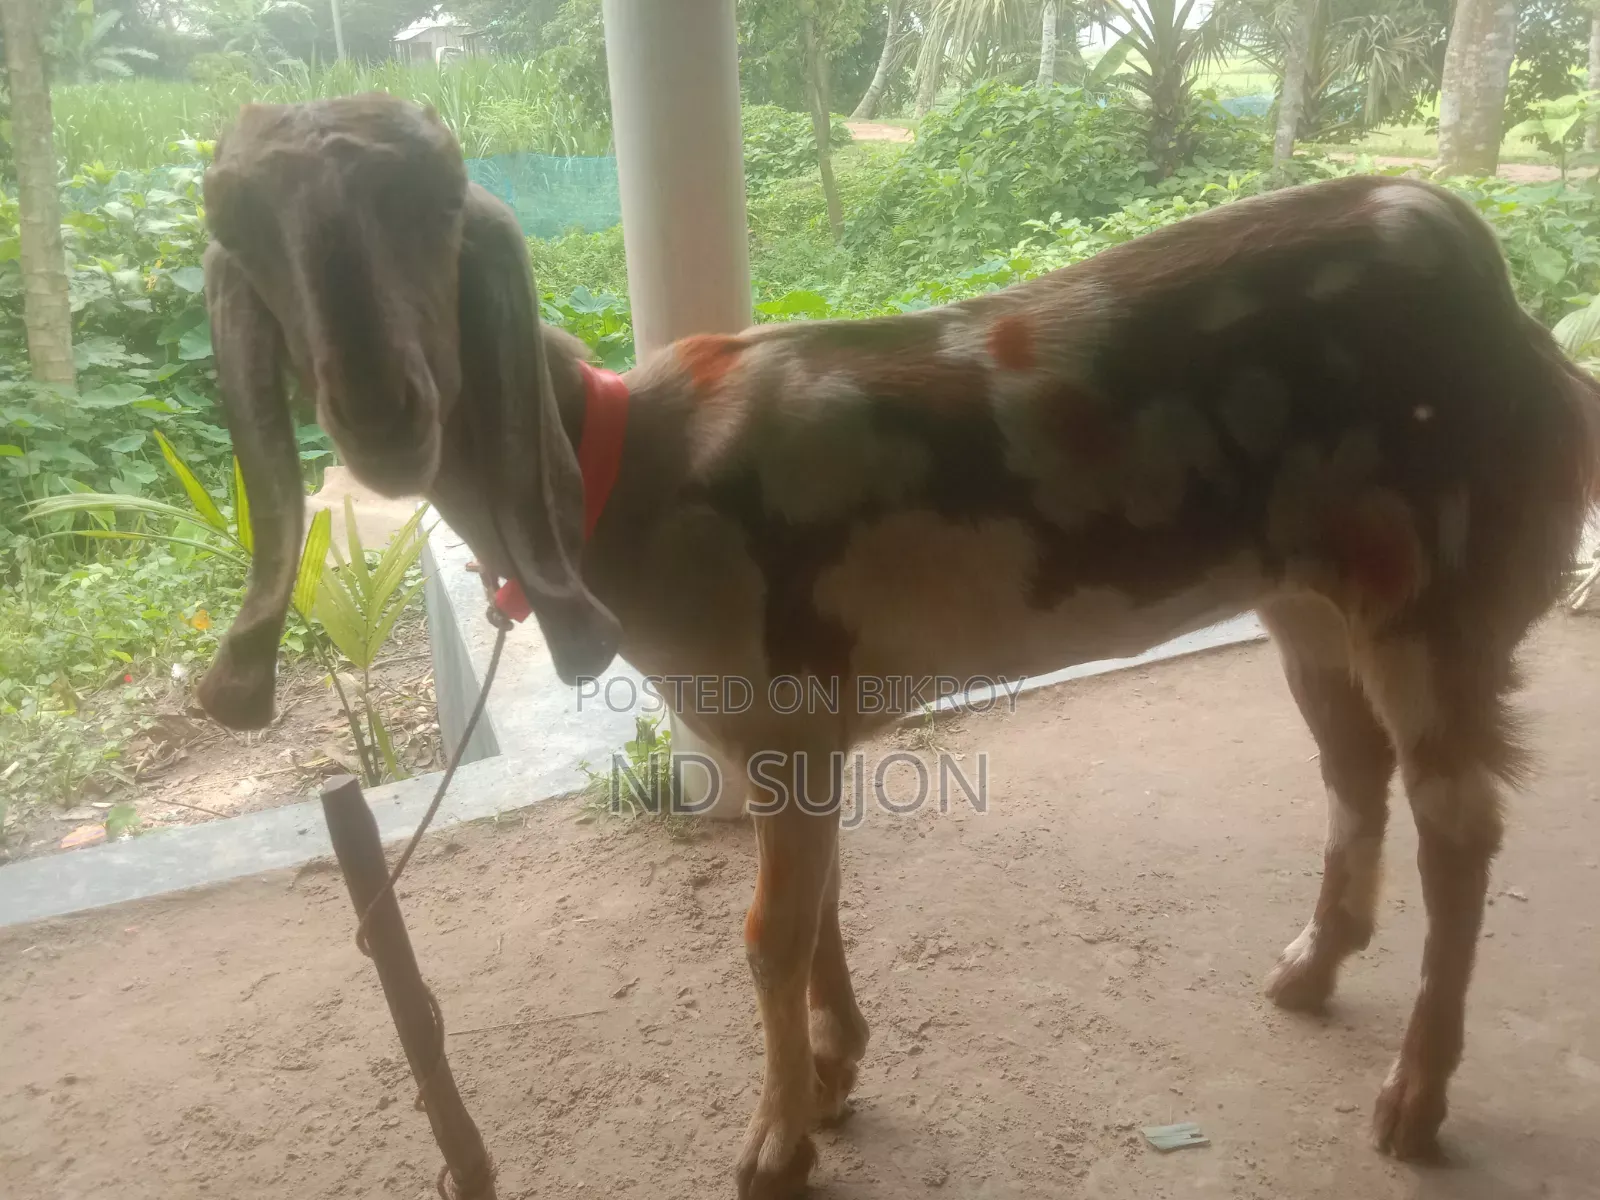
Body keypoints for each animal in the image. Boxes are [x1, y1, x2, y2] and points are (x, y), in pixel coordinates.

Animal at [195, 95, 1600, 1197]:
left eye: (438, 205)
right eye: (243, 229)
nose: (383, 411)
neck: (627, 477)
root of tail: (1516, 318)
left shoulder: (777, 709)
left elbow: (767, 932)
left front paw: (776, 1144)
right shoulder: (794, 736)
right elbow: (816, 909)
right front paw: (831, 1073)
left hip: (1436, 595)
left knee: (1459, 827)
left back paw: (1414, 1100)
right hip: (1309, 598)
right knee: (1353, 770)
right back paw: (1311, 971)